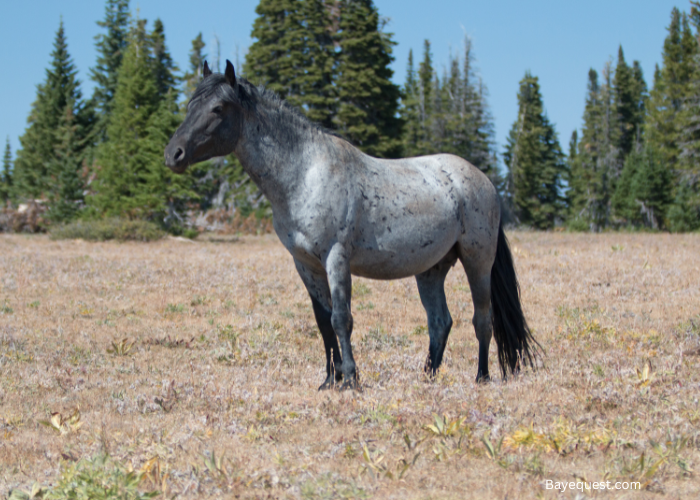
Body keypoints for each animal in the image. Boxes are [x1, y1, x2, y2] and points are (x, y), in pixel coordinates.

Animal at [167, 61, 540, 390]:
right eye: (190, 105)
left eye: (218, 108)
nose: (174, 154)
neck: (304, 174)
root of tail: (484, 181)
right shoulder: (305, 264)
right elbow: (323, 322)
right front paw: (329, 381)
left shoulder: (336, 258)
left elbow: (341, 318)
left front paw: (350, 380)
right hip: (430, 270)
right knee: (440, 322)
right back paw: (428, 378)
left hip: (478, 260)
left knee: (482, 319)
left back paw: (482, 377)